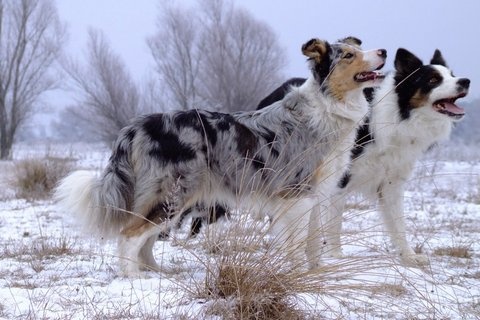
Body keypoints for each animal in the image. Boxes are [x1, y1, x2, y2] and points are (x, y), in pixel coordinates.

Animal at [56, 37, 386, 276]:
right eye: (348, 55)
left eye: (359, 48)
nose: (383, 50)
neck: (328, 107)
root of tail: (136, 125)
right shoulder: (295, 194)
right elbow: (296, 243)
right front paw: (298, 274)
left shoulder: (316, 195)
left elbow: (313, 243)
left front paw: (316, 274)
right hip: (172, 194)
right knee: (129, 236)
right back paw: (133, 278)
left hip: (170, 198)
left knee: (146, 240)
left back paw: (158, 274)